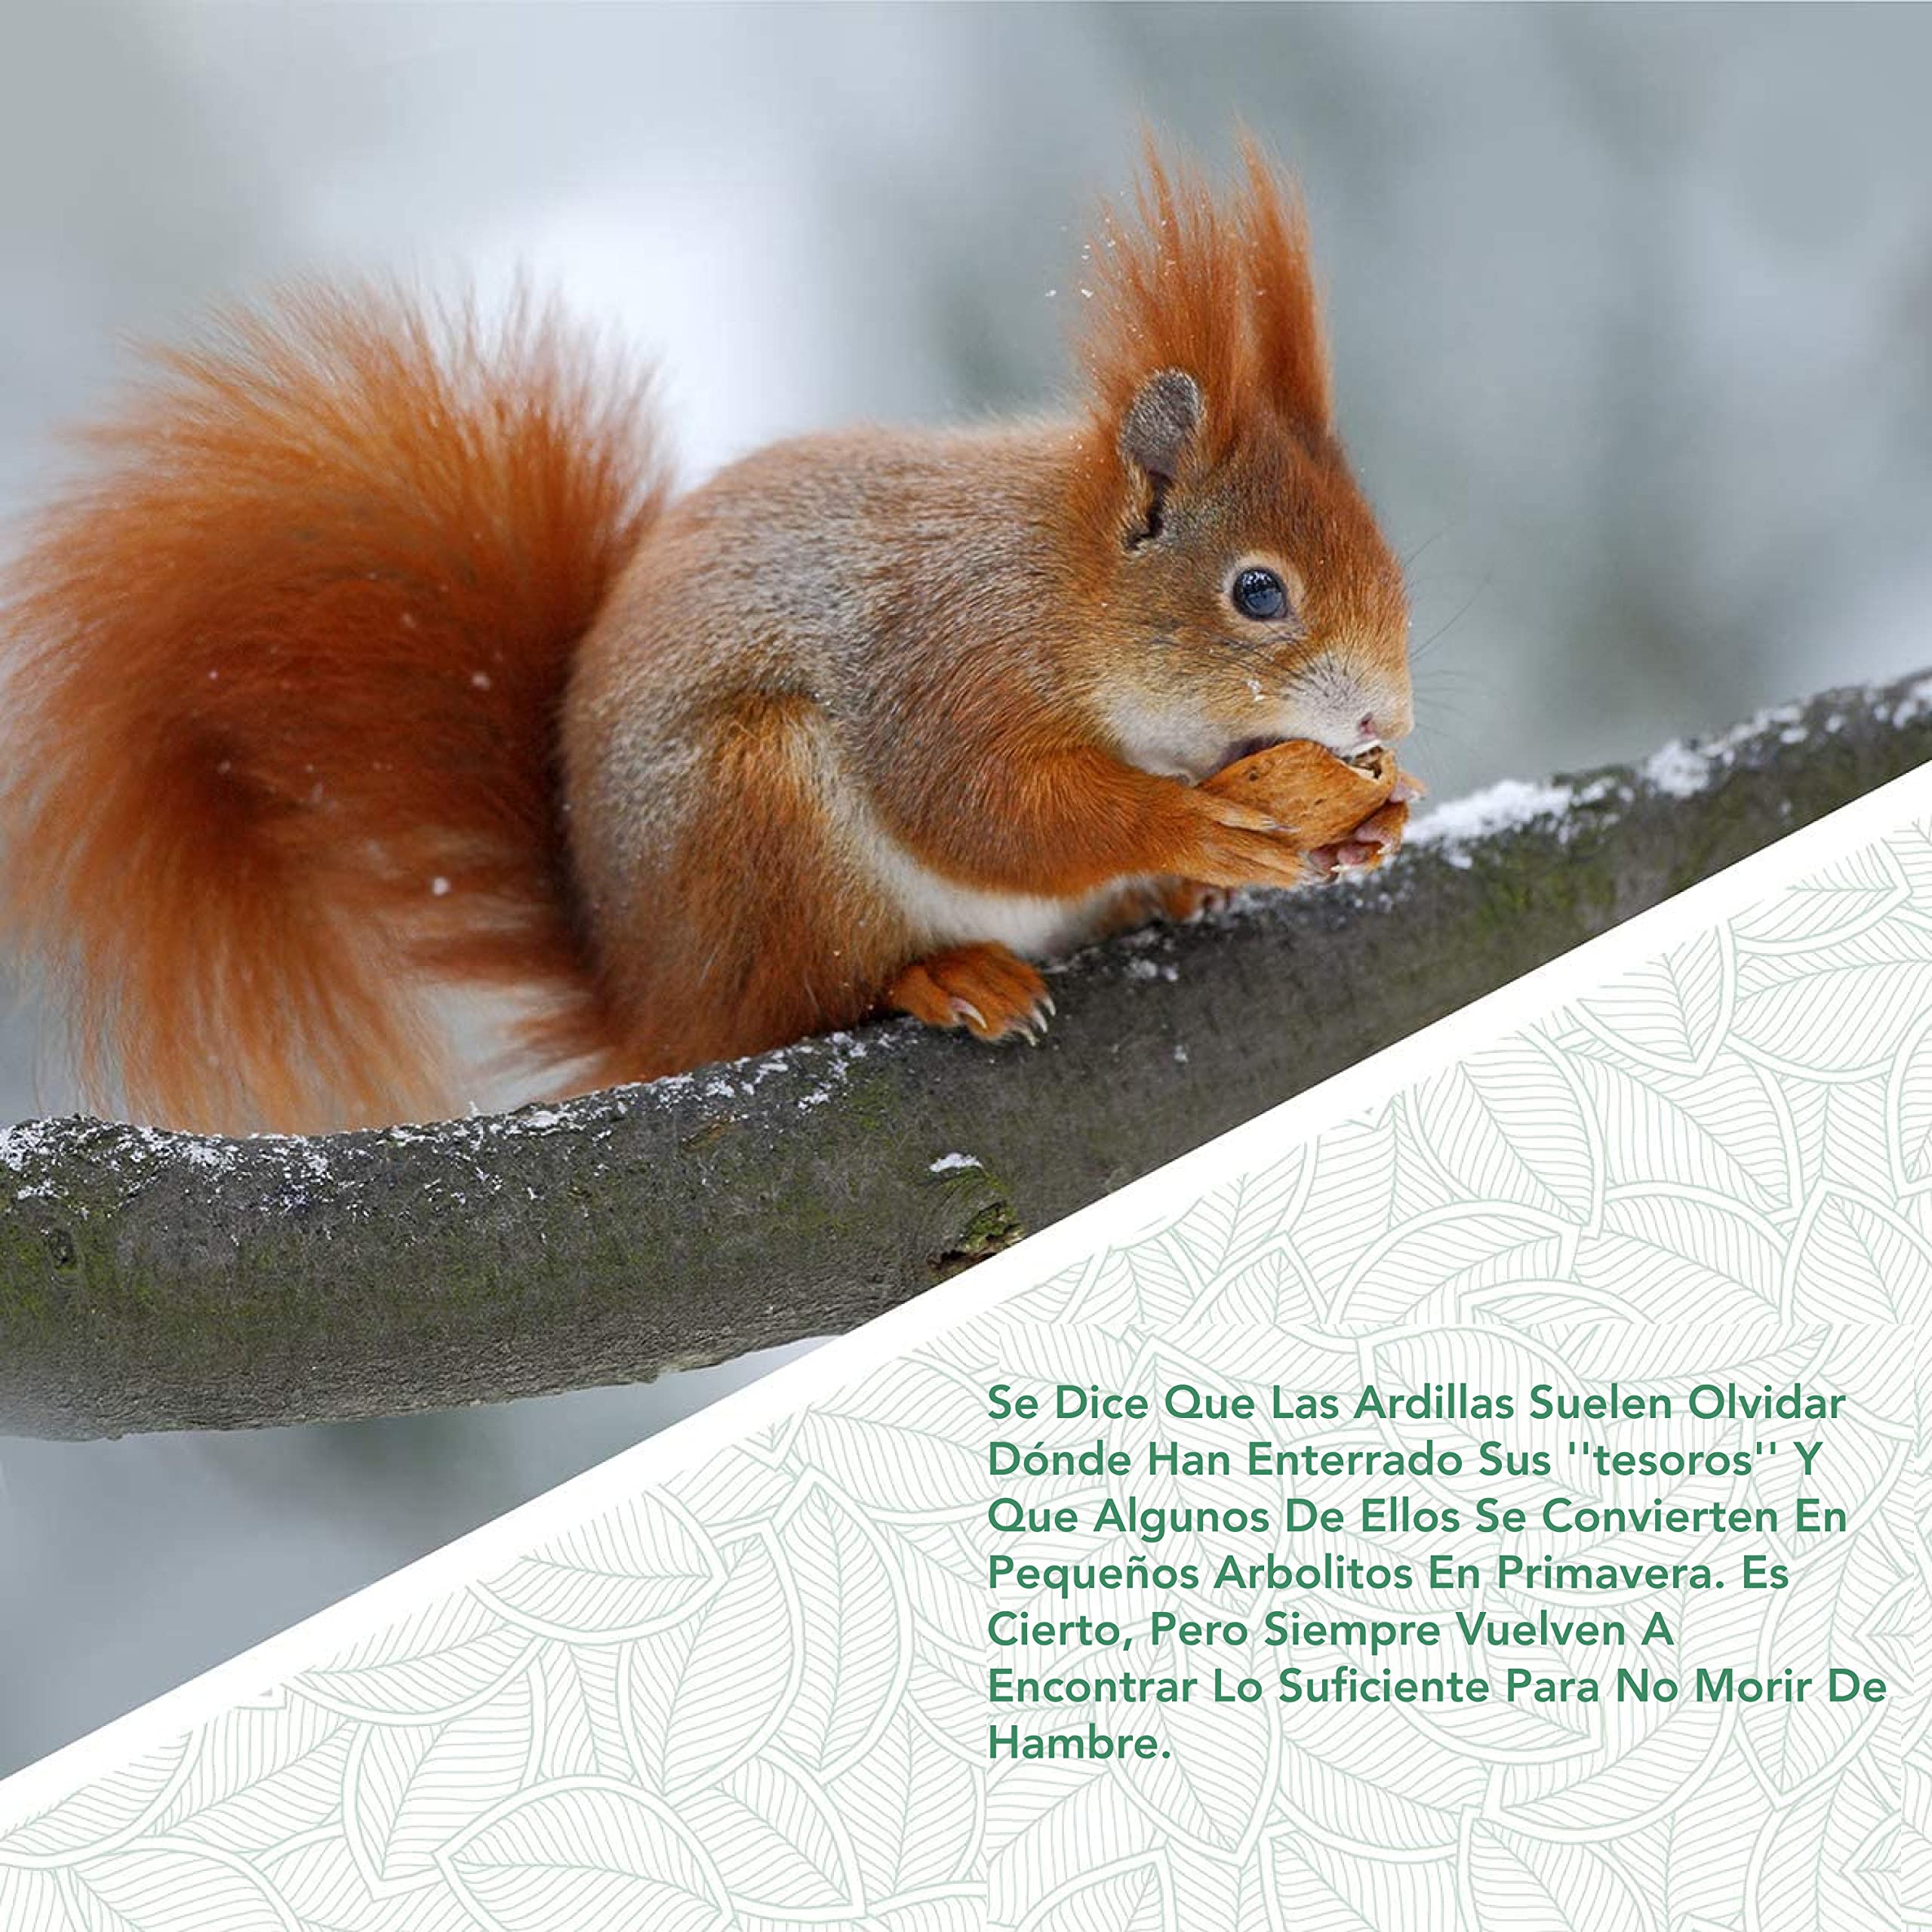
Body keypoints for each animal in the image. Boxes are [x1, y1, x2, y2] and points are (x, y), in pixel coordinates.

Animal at [0, 141, 1414, 1134]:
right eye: (1258, 595)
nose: (1383, 721)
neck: (1063, 588)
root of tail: (651, 1006)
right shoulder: (948, 661)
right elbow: (980, 808)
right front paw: (1192, 828)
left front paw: (1374, 819)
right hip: (761, 817)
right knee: (804, 1001)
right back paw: (950, 977)